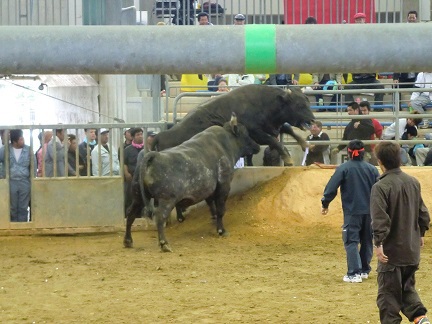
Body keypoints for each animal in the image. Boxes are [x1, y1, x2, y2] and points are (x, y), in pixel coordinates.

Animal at [123, 120, 262, 252]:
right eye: (245, 134)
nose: (257, 146)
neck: (224, 145)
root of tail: (154, 155)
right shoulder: (224, 185)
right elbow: (220, 209)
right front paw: (221, 230)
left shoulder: (209, 189)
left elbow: (211, 205)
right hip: (166, 199)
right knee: (160, 217)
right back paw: (164, 243)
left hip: (138, 197)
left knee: (130, 214)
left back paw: (128, 241)